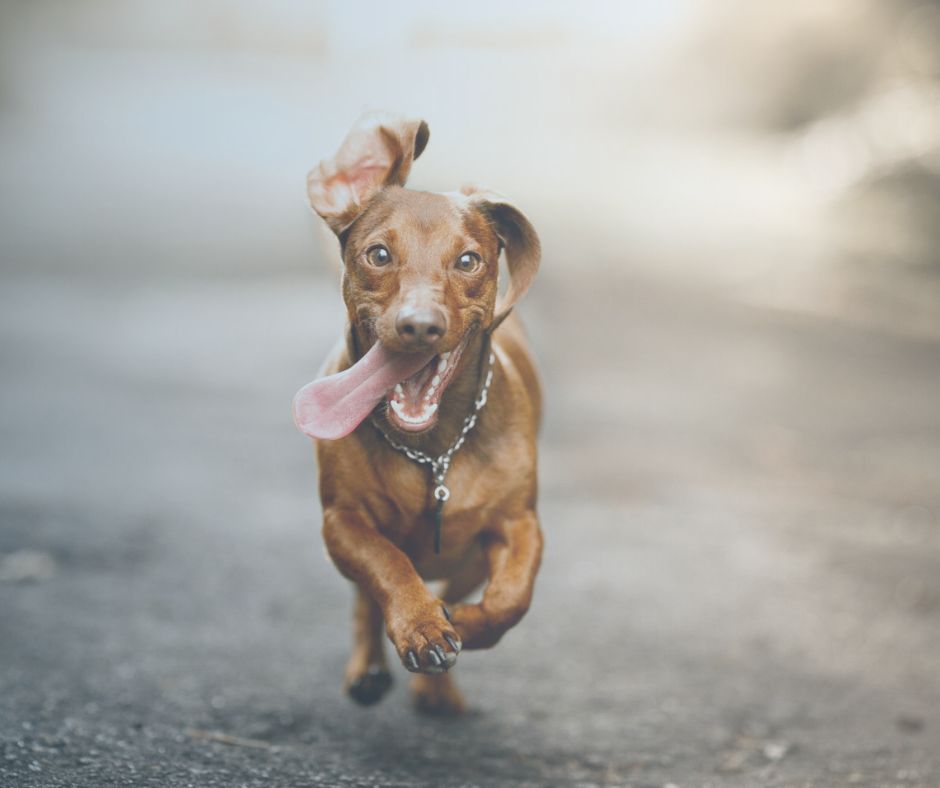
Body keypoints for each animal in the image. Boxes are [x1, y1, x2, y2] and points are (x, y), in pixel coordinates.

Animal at [292, 114, 544, 716]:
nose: (420, 326)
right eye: (379, 254)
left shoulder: (519, 523)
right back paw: (368, 668)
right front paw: (421, 625)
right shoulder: (341, 522)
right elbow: (387, 565)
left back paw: (437, 687)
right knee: (366, 598)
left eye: (469, 260)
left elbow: (510, 599)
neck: (432, 449)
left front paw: (463, 626)